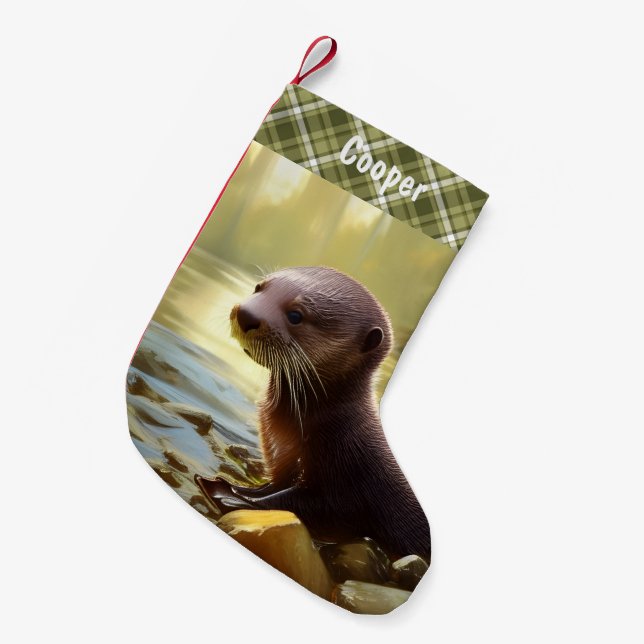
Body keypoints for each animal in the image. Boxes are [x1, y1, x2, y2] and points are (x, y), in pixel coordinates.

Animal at [196, 266, 430, 560]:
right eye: (259, 287)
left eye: (296, 315)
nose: (246, 314)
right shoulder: (284, 460)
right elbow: (273, 486)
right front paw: (241, 489)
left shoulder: (352, 479)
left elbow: (319, 508)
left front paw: (229, 495)